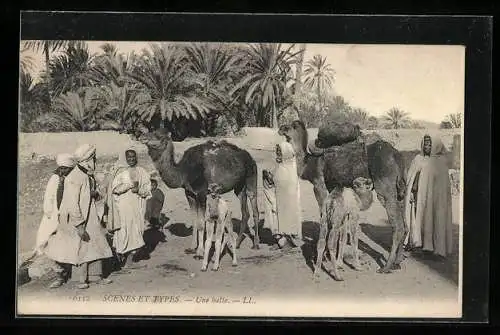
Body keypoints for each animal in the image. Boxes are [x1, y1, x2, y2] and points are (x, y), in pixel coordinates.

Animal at [138, 127, 262, 258]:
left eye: (159, 136)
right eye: (152, 131)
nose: (142, 137)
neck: (184, 172)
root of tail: (249, 156)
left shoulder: (202, 193)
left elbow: (202, 223)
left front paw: (200, 252)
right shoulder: (189, 194)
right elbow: (195, 221)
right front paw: (192, 248)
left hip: (251, 176)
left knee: (254, 208)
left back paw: (255, 244)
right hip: (239, 187)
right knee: (245, 212)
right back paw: (237, 244)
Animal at [280, 121, 408, 276]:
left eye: (291, 126)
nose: (280, 128)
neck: (308, 164)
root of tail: (397, 156)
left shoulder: (319, 185)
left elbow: (323, 217)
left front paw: (325, 257)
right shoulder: (334, 188)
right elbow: (342, 226)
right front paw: (337, 260)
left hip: (386, 190)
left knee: (398, 226)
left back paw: (386, 266)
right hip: (401, 191)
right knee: (405, 223)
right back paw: (397, 262)